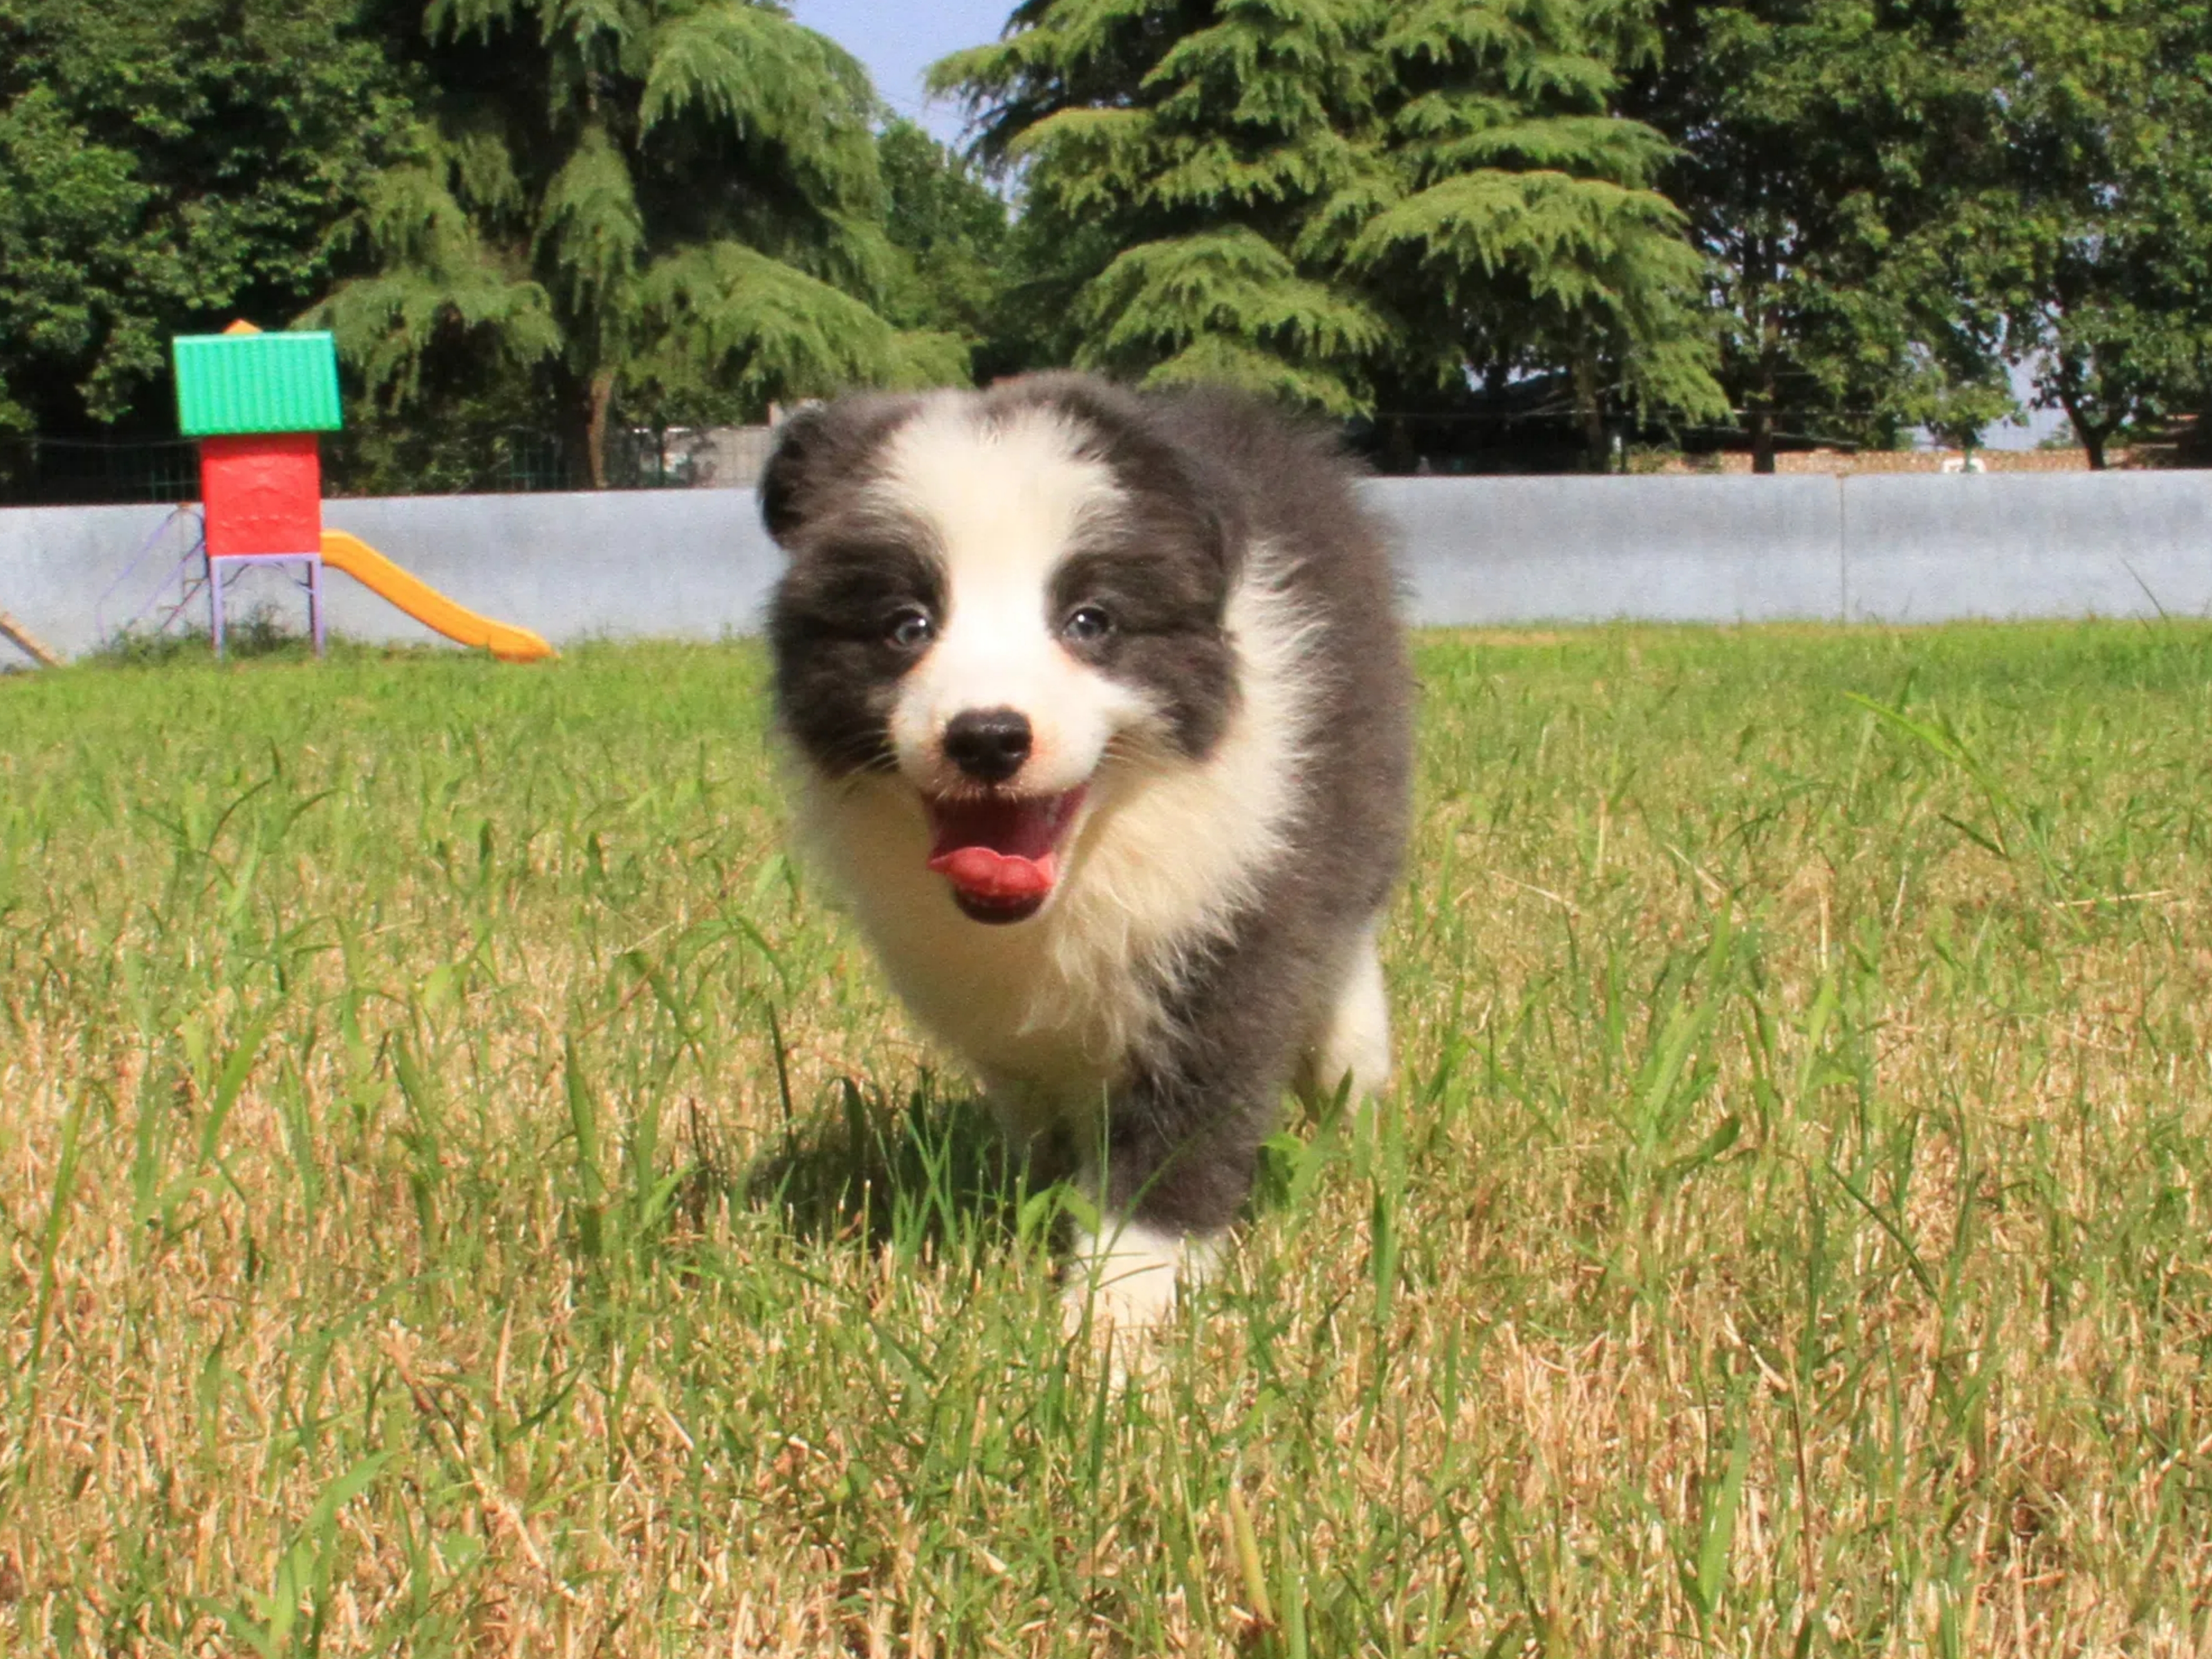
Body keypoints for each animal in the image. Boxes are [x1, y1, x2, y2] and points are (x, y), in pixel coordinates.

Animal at [765, 373, 1416, 1327]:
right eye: (906, 625)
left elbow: (1179, 1146)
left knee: (1345, 1018)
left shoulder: (1231, 930)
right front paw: (1042, 1223)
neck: (1090, 869)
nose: (988, 737)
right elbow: (1044, 1123)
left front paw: (1110, 1326)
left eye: (1089, 621)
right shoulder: (1000, 1018)